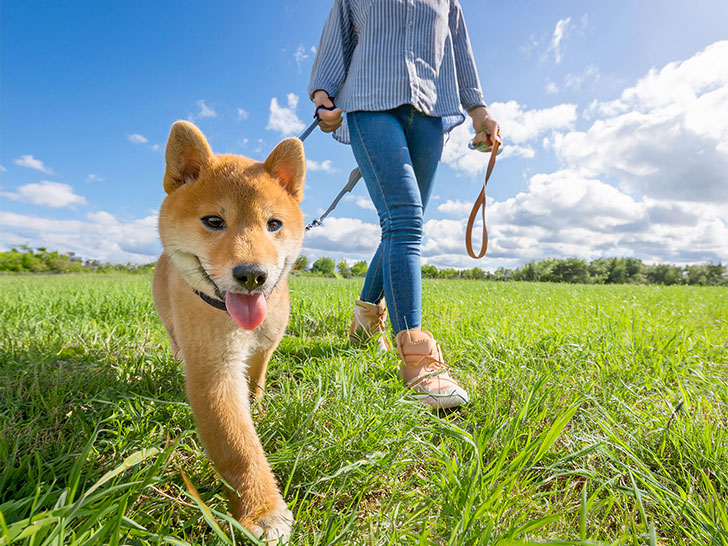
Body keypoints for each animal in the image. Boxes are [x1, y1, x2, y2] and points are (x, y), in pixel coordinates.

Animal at [154, 120, 304, 540]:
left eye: (274, 224)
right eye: (214, 221)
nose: (253, 275)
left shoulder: (265, 345)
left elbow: (255, 380)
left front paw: (258, 405)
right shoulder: (212, 371)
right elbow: (238, 447)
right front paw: (262, 510)